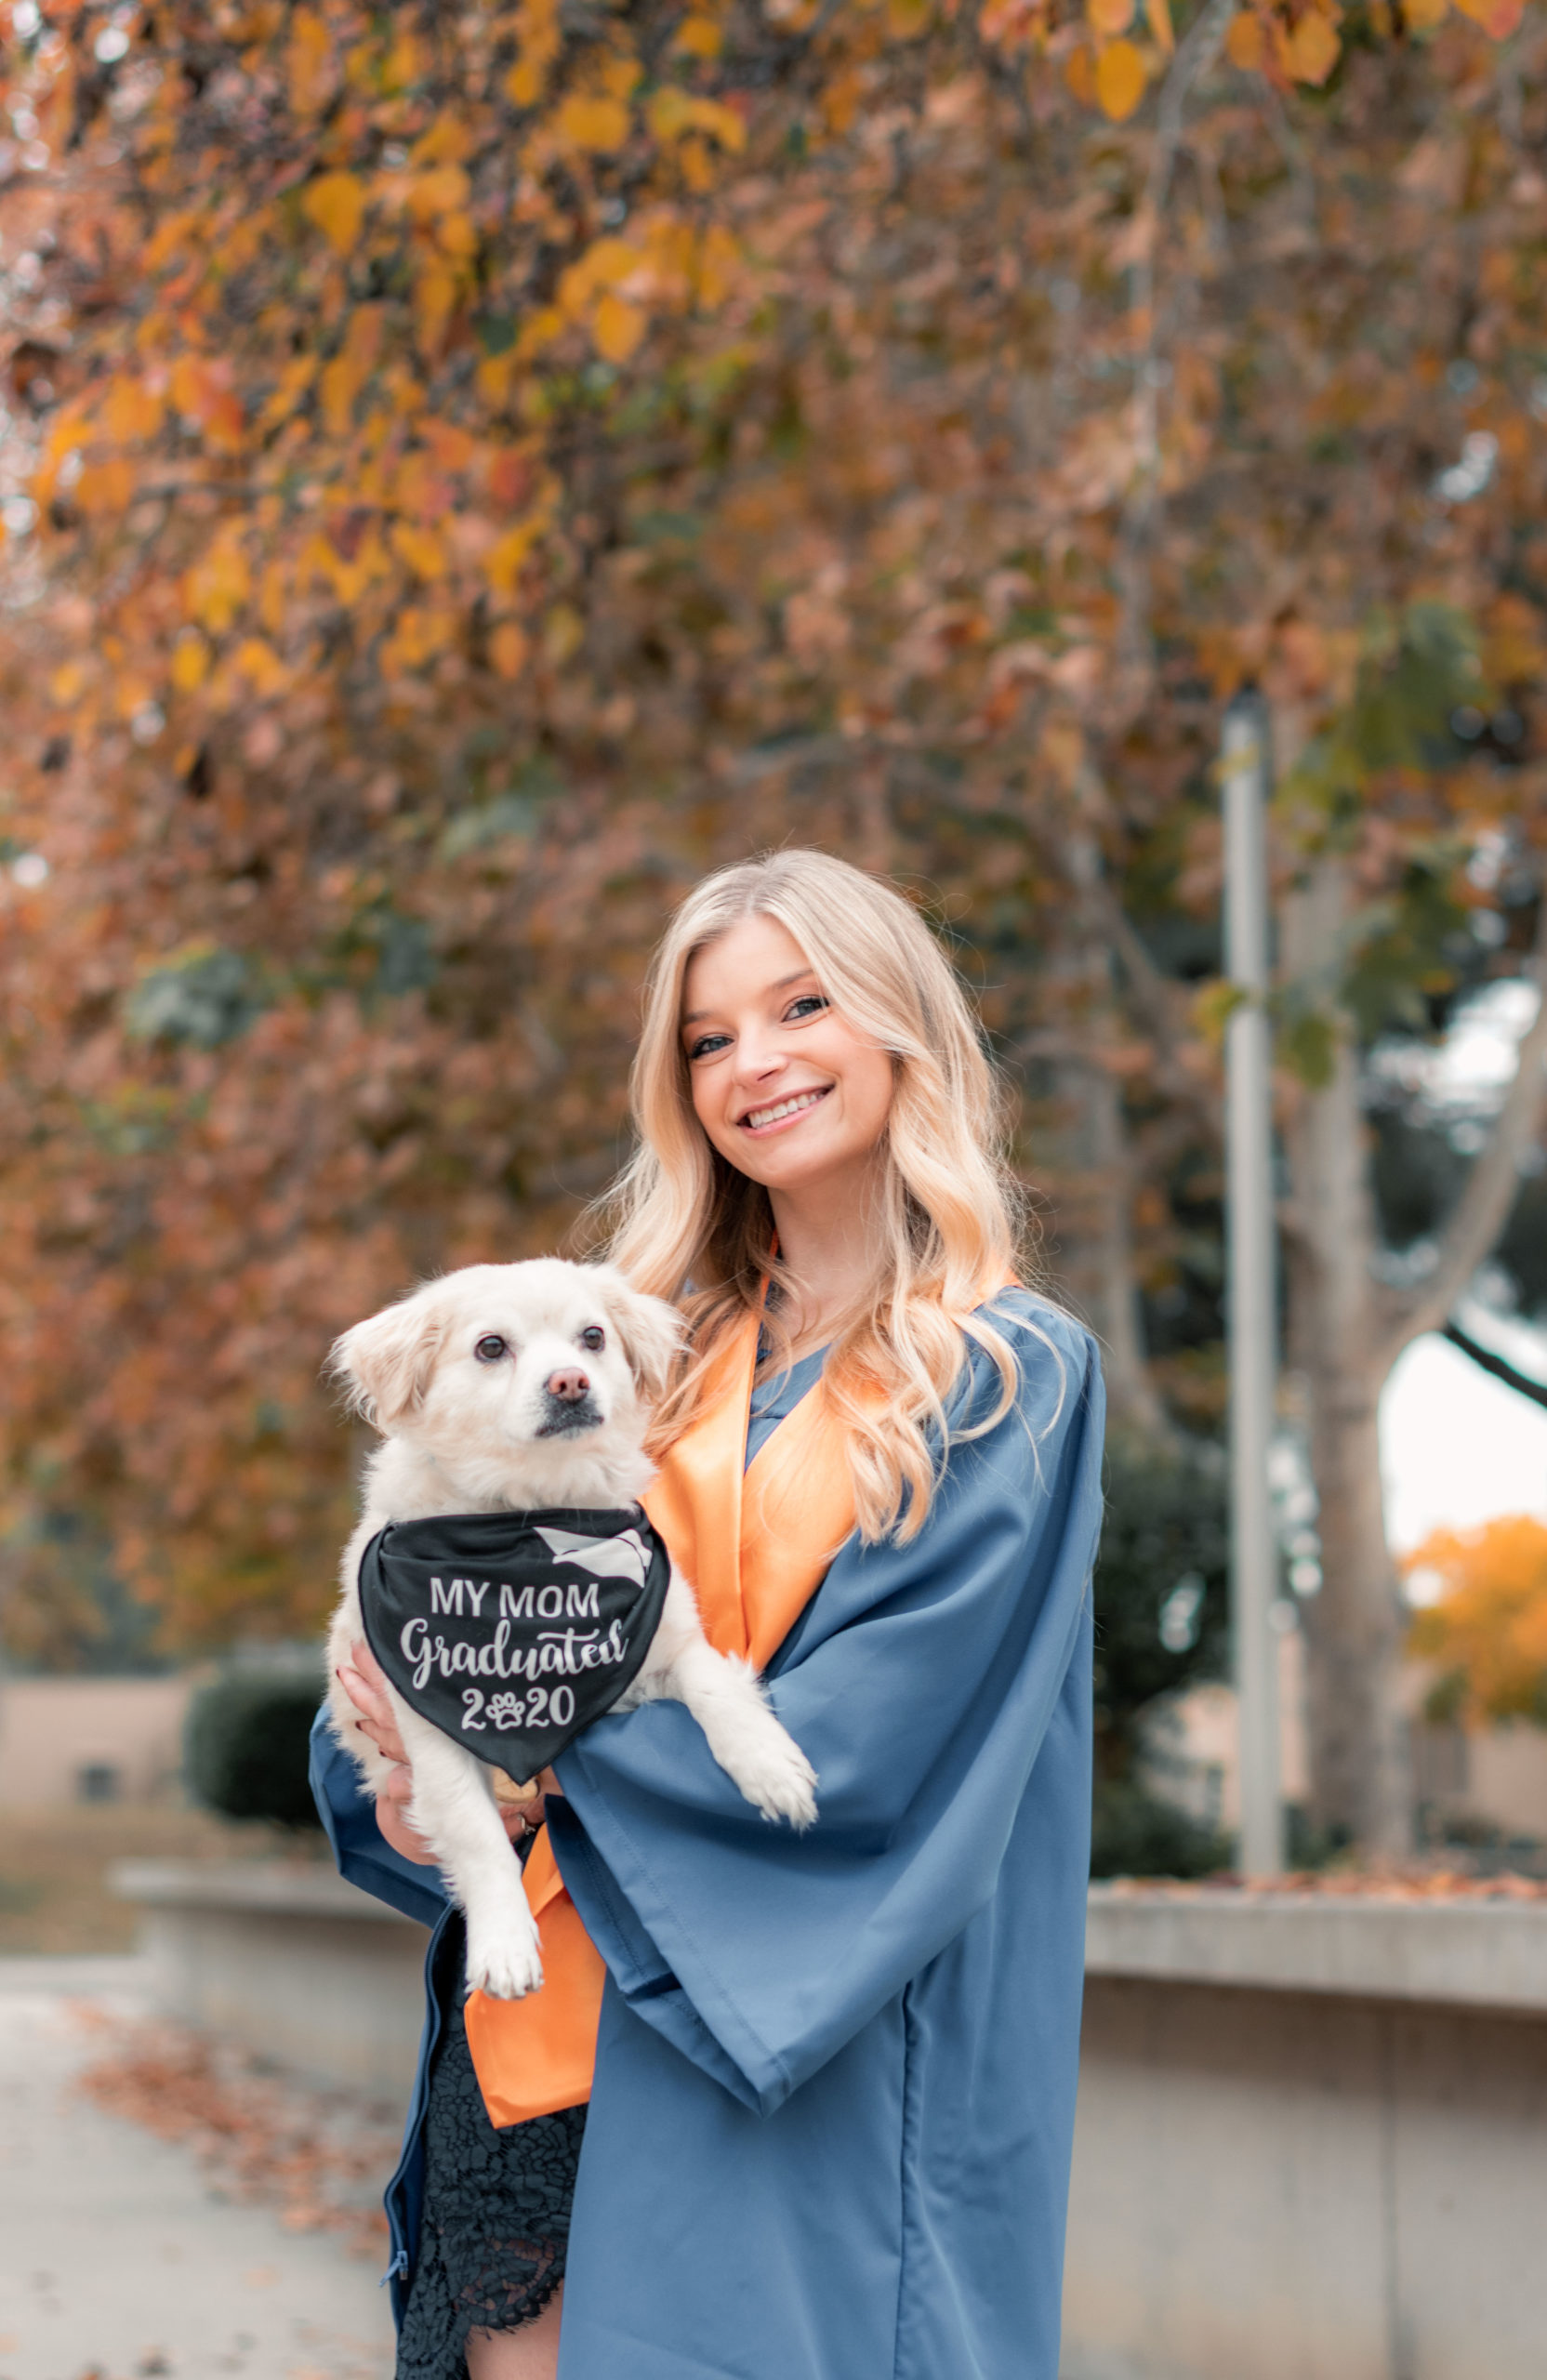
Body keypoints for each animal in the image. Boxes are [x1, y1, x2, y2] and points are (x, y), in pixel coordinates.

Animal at [325, 1256, 818, 1999]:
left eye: (592, 1338)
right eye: (491, 1347)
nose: (570, 1382)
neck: (531, 1520)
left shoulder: (665, 1640)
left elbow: (715, 1686)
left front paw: (769, 1766)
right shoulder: (426, 1728)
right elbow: (474, 1832)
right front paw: (504, 1943)